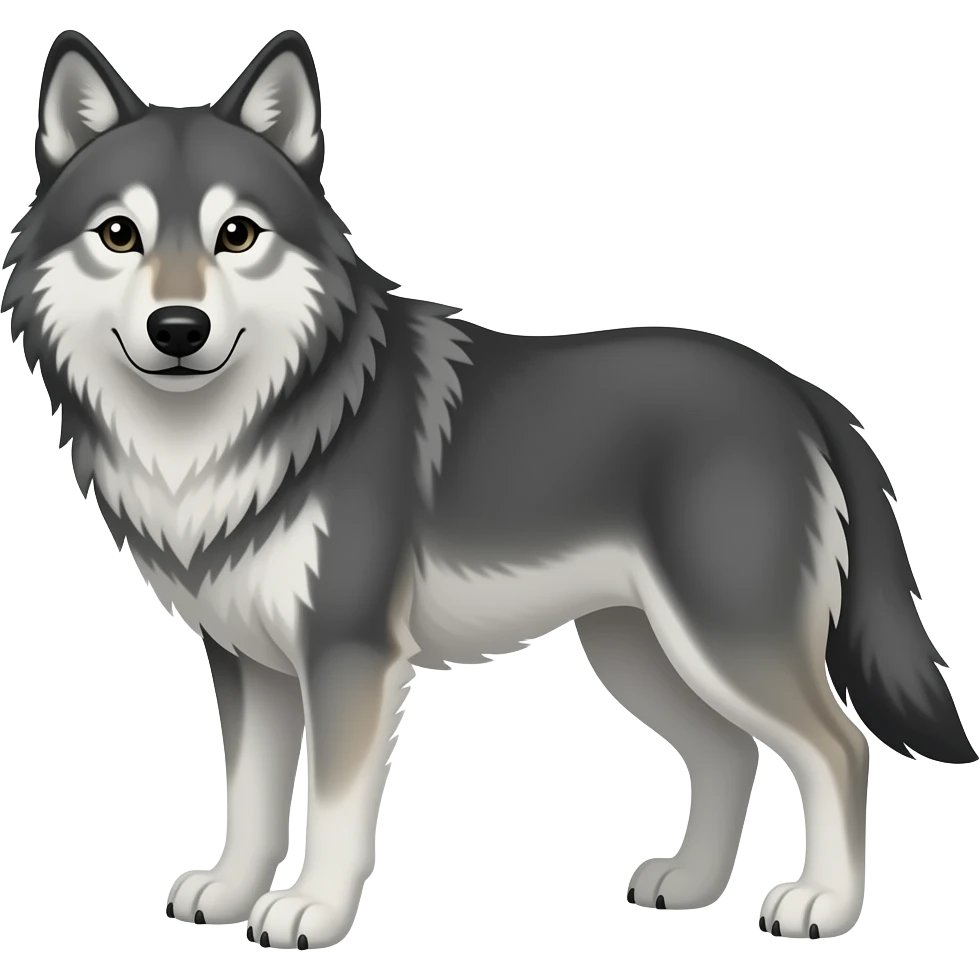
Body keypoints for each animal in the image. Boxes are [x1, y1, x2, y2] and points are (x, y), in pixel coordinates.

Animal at [3, 27, 974, 950]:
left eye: (236, 235)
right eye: (119, 235)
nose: (179, 328)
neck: (230, 433)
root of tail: (803, 393)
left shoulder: (349, 653)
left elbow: (335, 806)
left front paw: (311, 911)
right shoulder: (247, 660)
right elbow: (251, 798)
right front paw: (232, 892)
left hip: (724, 642)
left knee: (840, 749)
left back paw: (823, 905)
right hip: (638, 651)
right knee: (730, 754)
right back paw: (692, 886)